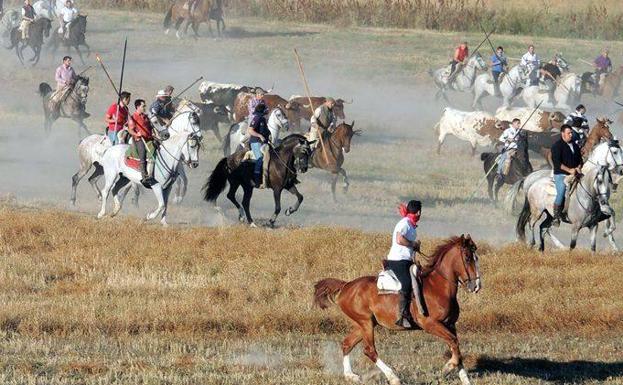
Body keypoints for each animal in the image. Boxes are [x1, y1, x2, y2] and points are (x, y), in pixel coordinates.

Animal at [316, 232, 482, 384]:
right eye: (467, 257)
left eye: (476, 258)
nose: (477, 286)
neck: (439, 287)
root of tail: (346, 286)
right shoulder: (430, 324)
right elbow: (454, 344)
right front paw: (447, 368)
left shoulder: (450, 325)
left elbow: (456, 348)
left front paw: (464, 379)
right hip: (365, 323)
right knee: (369, 350)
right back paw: (393, 377)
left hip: (363, 324)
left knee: (346, 344)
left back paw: (351, 376)